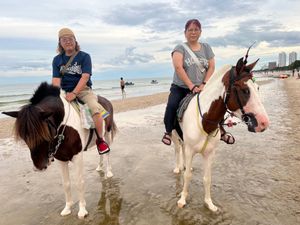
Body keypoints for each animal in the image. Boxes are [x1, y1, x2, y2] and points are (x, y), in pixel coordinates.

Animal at [2, 82, 117, 218]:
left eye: (45, 133)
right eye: (24, 137)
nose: (39, 166)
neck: (64, 127)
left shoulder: (77, 156)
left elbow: (79, 182)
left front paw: (82, 210)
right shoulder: (61, 159)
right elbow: (66, 184)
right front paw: (67, 208)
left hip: (107, 133)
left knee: (107, 153)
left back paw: (109, 172)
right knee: (101, 152)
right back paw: (99, 167)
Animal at [173, 55, 270, 211]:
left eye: (258, 88)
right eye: (245, 90)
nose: (264, 122)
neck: (204, 121)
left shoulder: (209, 154)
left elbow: (207, 178)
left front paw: (209, 203)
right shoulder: (189, 150)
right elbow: (187, 176)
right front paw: (182, 200)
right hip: (175, 136)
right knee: (177, 150)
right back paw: (177, 168)